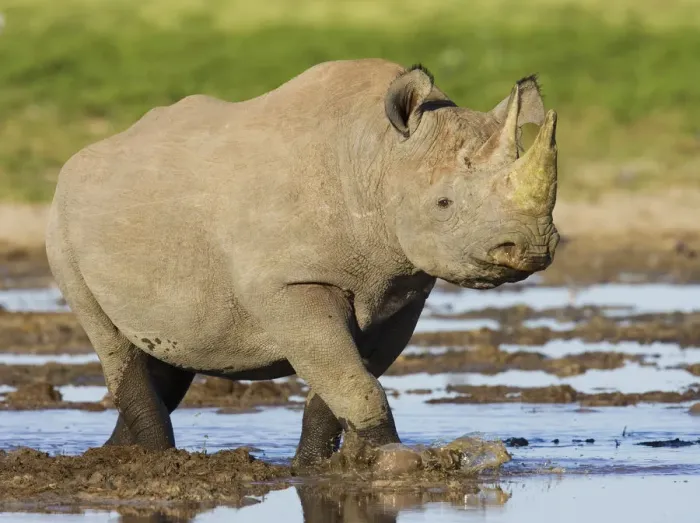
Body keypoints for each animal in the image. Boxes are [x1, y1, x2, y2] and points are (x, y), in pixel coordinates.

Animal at [45, 59, 559, 466]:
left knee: (170, 350)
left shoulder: (400, 291)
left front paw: (317, 466)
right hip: (62, 220)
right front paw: (395, 461)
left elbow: (343, 378)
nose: (529, 248)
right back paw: (158, 461)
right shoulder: (291, 285)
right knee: (112, 339)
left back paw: (116, 455)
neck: (379, 158)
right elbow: (350, 377)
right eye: (444, 203)